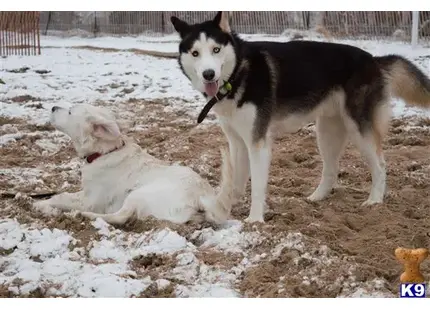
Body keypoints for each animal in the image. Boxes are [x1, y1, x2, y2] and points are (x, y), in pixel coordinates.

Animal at [33, 104, 232, 225]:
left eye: (70, 112)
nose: (53, 107)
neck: (105, 152)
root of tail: (201, 197)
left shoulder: (90, 200)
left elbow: (61, 197)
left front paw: (40, 205)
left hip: (138, 194)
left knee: (121, 217)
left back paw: (85, 216)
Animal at [170, 11, 430, 223]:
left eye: (216, 49)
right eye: (195, 53)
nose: (208, 74)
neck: (238, 74)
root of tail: (373, 60)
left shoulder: (258, 142)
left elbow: (257, 187)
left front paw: (255, 220)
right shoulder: (237, 142)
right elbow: (236, 183)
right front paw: (224, 210)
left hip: (359, 130)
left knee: (380, 164)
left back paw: (375, 200)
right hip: (326, 133)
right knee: (331, 170)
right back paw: (316, 198)